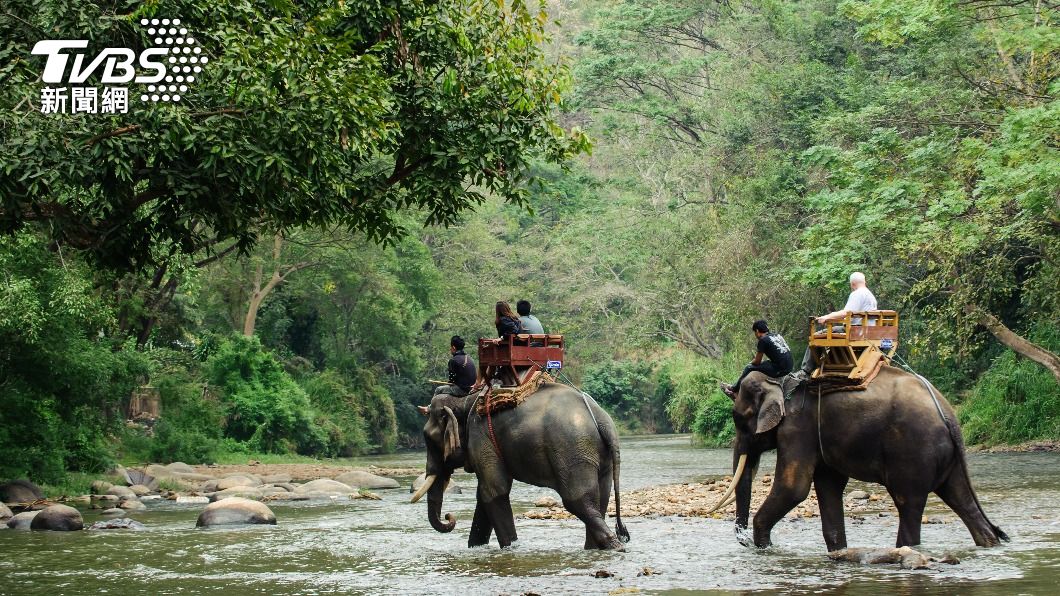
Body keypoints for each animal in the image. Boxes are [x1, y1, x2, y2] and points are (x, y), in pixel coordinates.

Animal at [411, 382, 630, 550]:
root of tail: (603, 420)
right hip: (596, 455)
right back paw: (596, 548)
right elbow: (484, 495)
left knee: (577, 501)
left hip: (573, 450)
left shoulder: (481, 437)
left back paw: (615, 546)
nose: (449, 516)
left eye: (428, 438)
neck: (466, 399)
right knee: (600, 498)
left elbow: (494, 491)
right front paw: (475, 547)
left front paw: (511, 548)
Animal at [710, 368, 1007, 551]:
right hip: (949, 459)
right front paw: (838, 551)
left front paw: (766, 547)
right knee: (961, 499)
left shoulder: (797, 429)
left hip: (913, 452)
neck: (779, 382)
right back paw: (989, 542)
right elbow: (828, 485)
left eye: (739, 419)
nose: (745, 542)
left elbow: (794, 488)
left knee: (908, 503)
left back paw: (905, 549)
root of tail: (949, 415)